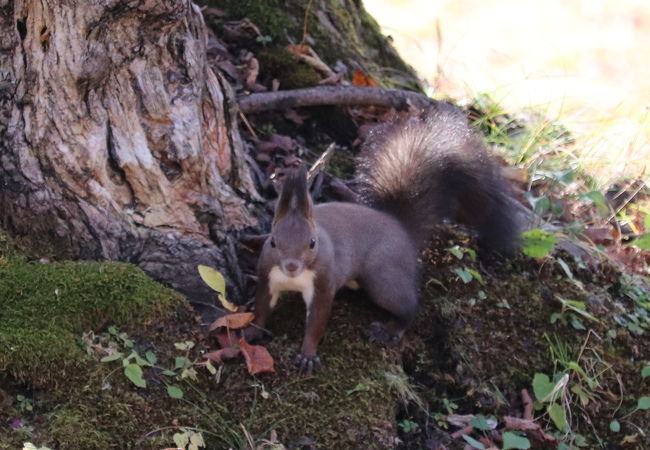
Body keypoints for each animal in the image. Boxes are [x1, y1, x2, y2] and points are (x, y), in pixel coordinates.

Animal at [242, 104, 516, 372]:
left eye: (312, 242)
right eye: (273, 241)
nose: (291, 266)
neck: (294, 280)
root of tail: (400, 227)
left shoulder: (323, 282)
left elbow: (317, 321)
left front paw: (307, 355)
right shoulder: (267, 276)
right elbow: (262, 308)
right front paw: (253, 332)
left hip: (382, 275)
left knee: (408, 305)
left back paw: (390, 329)